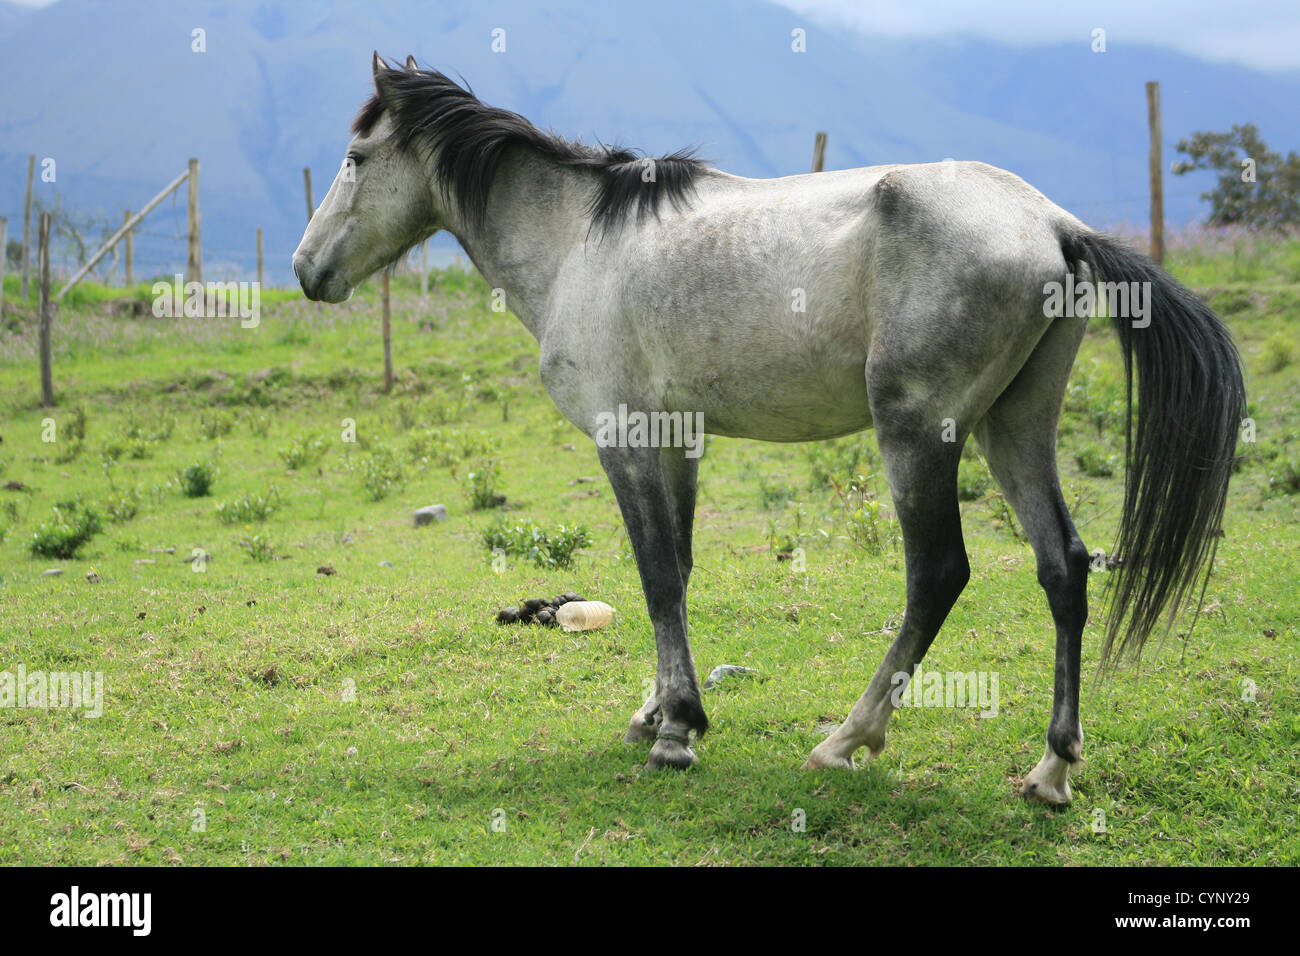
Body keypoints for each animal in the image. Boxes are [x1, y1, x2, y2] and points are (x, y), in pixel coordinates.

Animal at [295, 55, 1248, 806]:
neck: (580, 244)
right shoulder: (675, 439)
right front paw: (656, 712)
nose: (308, 271)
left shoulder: (623, 439)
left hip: (919, 433)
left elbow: (654, 576)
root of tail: (1052, 223)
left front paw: (677, 732)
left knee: (938, 574)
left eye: (356, 157)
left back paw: (847, 740)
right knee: (1064, 567)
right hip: (1014, 426)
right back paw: (1051, 771)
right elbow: (678, 571)